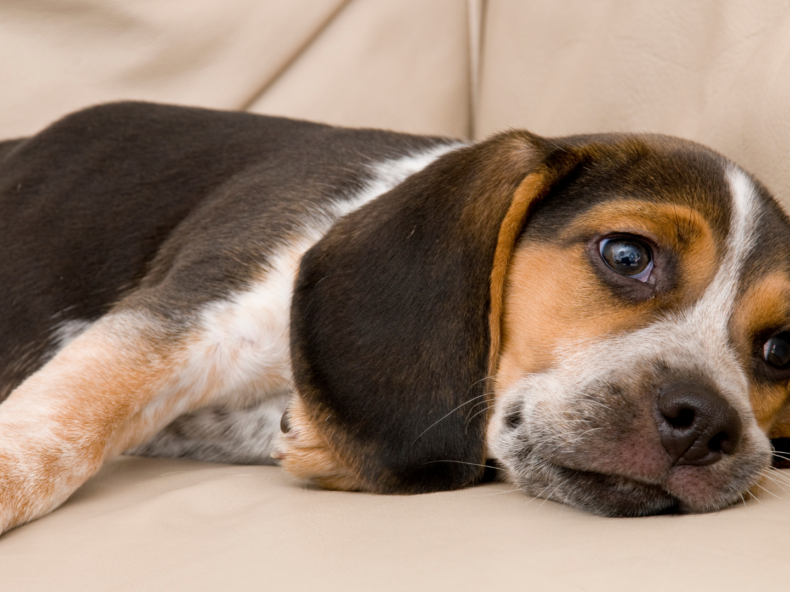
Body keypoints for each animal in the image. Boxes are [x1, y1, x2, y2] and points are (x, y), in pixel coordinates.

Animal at [1, 102, 790, 532]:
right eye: (626, 254)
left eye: (782, 350)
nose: (705, 423)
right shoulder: (181, 321)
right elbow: (57, 433)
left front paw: (313, 442)